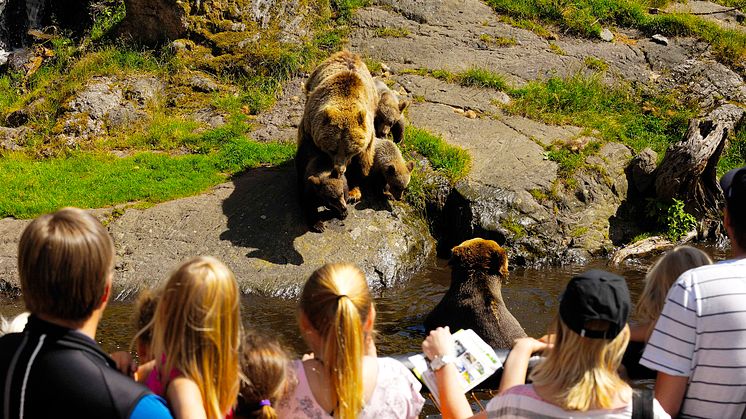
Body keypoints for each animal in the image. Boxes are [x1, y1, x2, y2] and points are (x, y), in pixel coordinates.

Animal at [296, 50, 378, 178]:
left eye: (350, 151)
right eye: (332, 149)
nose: (339, 170)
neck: (345, 99)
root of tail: (346, 53)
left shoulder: (368, 133)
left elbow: (365, 158)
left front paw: (363, 172)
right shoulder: (309, 125)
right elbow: (305, 151)